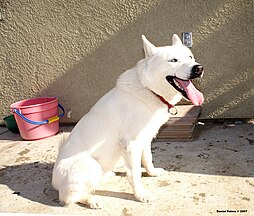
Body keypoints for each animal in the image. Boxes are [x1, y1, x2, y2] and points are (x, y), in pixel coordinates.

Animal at [52, 34, 204, 208]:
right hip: (90, 166)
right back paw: (91, 200)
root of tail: (54, 180)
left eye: (190, 57)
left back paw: (106, 176)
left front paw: (152, 173)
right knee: (68, 197)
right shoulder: (131, 145)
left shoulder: (145, 139)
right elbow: (135, 173)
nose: (198, 68)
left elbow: (148, 159)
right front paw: (140, 195)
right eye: (173, 60)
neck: (148, 89)